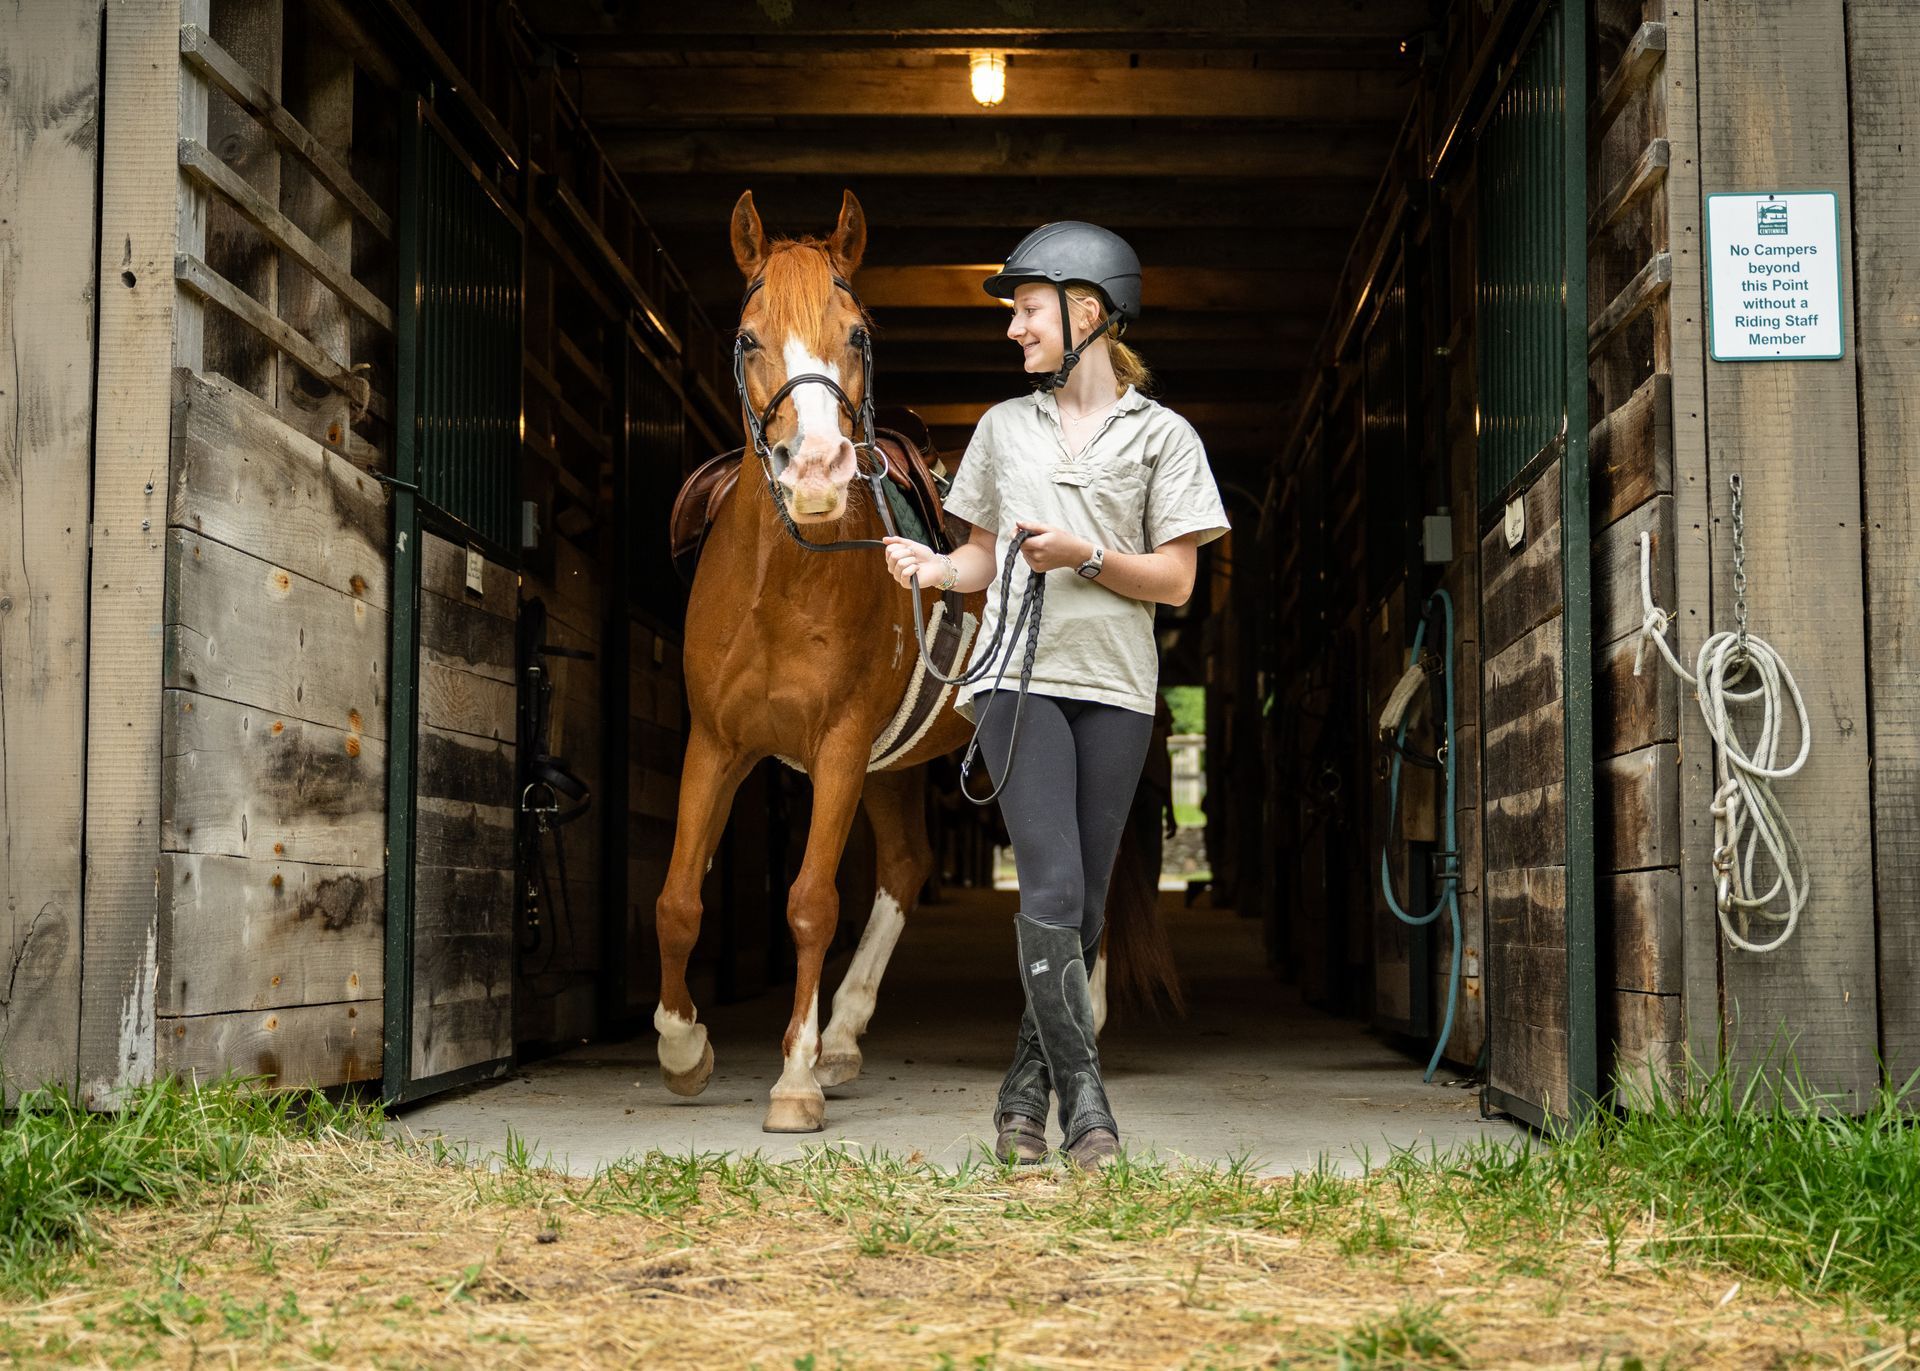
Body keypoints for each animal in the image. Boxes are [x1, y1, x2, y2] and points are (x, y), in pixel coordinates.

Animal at [653, 188, 1178, 1133]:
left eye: (859, 334)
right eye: (747, 337)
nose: (817, 472)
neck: (783, 581)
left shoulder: (837, 747)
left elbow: (810, 903)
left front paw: (792, 1079)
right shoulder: (717, 742)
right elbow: (679, 897)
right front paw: (684, 1048)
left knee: (1100, 865)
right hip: (889, 767)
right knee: (904, 868)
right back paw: (844, 1034)